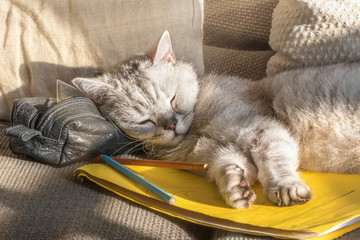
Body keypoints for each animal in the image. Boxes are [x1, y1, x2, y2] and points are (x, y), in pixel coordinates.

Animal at [72, 31, 360, 208]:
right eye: (144, 121)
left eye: (172, 99)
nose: (171, 124)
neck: (198, 129)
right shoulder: (212, 155)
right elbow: (228, 165)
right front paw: (236, 187)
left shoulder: (262, 128)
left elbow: (273, 160)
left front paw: (283, 187)